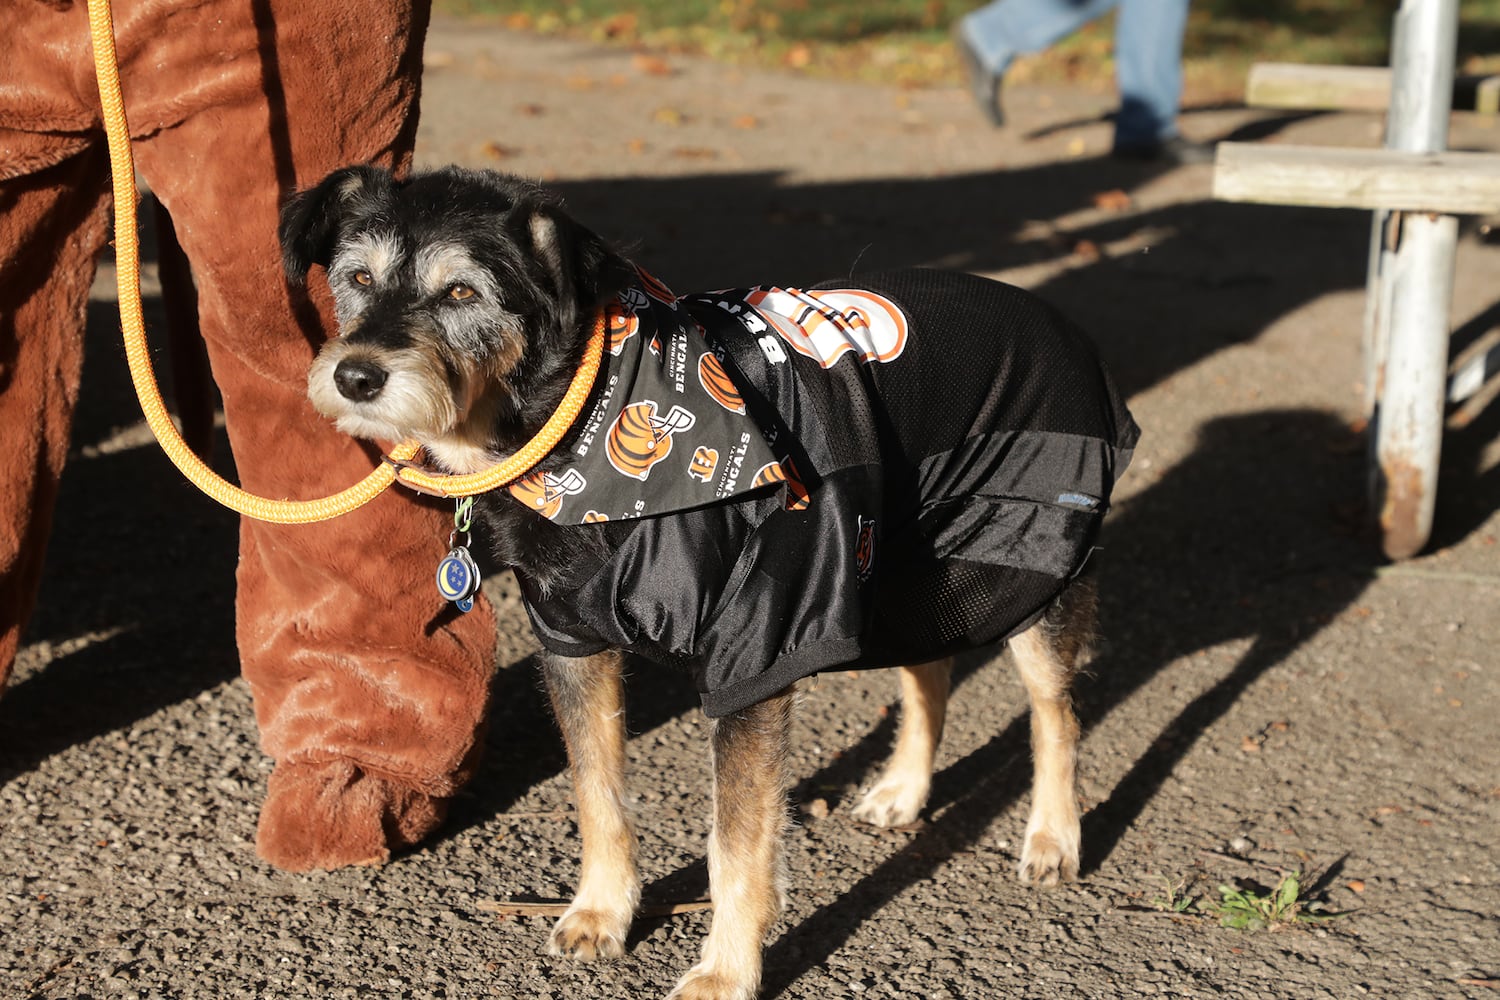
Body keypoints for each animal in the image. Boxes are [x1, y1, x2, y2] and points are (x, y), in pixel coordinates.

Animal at [283, 166, 1134, 1000]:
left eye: (462, 293)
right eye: (357, 278)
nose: (356, 375)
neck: (579, 426)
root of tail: (1050, 315)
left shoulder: (757, 656)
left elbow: (738, 844)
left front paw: (725, 971)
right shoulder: (572, 640)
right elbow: (598, 793)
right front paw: (602, 912)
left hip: (1025, 566)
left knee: (1055, 712)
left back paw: (1052, 836)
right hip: (901, 568)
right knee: (932, 668)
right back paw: (903, 789)